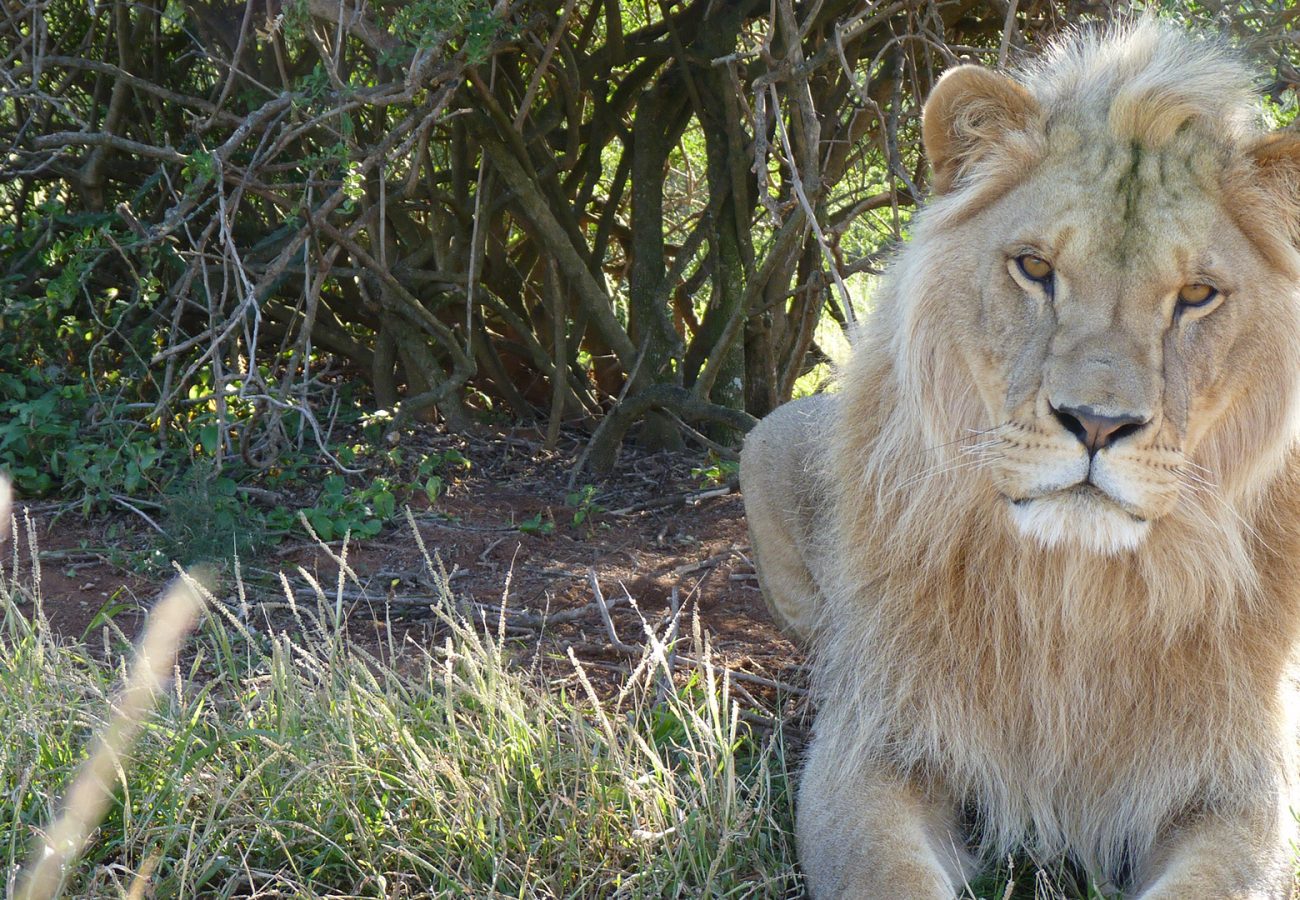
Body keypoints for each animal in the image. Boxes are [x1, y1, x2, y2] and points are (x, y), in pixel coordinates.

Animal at [748, 21, 1300, 900]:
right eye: (1036, 269)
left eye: (1196, 296)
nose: (1097, 424)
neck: (1073, 592)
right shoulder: (868, 745)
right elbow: (886, 874)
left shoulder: (1245, 782)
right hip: (767, 438)